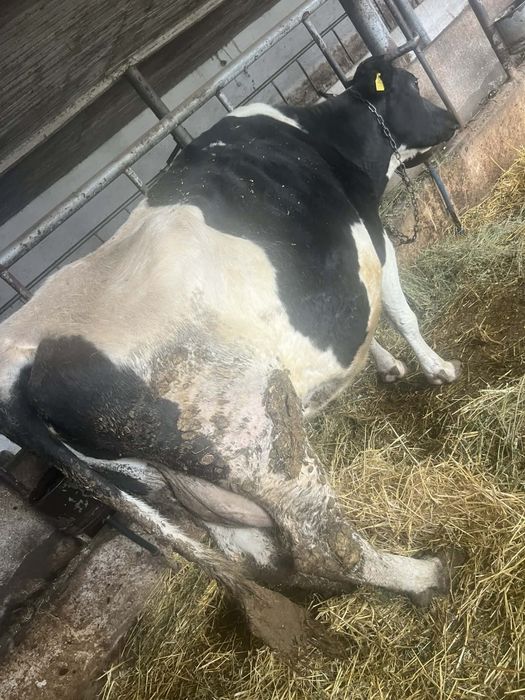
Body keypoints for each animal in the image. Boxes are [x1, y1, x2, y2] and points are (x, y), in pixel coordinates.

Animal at [0, 53, 461, 655]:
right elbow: (399, 313)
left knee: (257, 555)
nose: (450, 119)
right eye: (410, 84)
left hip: (174, 489)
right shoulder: (375, 244)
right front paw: (437, 369)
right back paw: (422, 575)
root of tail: (24, 350)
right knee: (322, 545)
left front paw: (387, 366)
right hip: (260, 441)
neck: (318, 134)